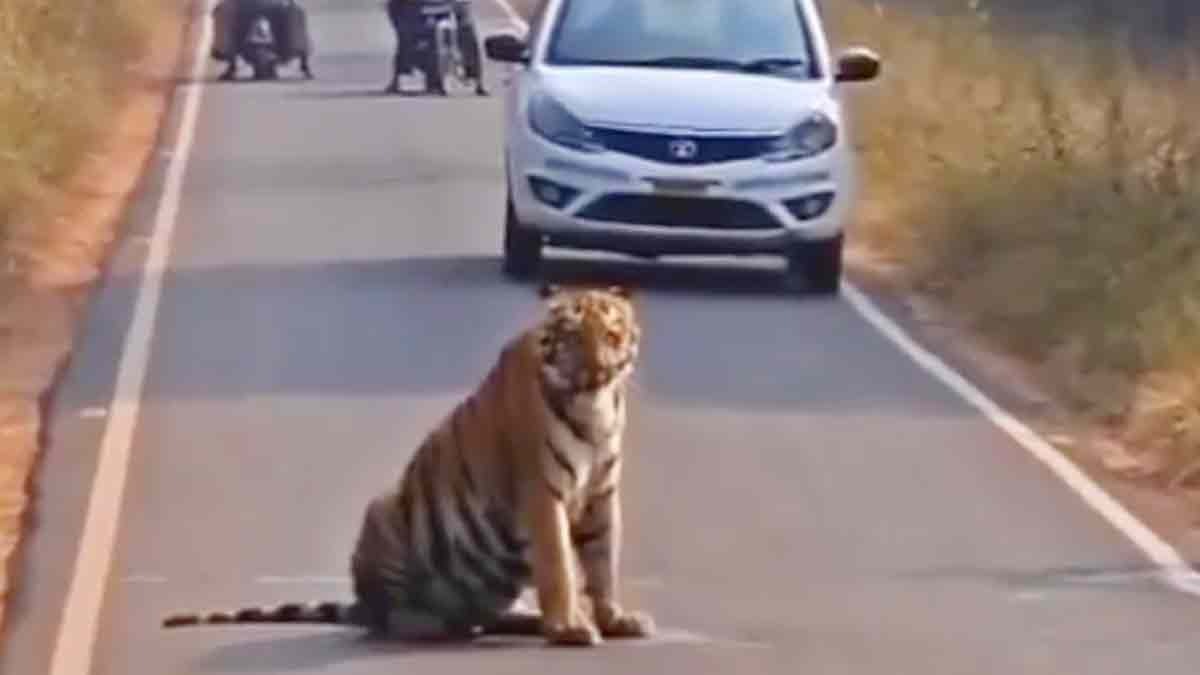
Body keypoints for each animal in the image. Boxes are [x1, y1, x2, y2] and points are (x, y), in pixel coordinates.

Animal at [162, 283, 654, 647]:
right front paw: (569, 627)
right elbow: (559, 567)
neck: (595, 410)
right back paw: (427, 624)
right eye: (573, 338)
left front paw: (614, 619)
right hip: (384, 517)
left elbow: (602, 561)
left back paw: (520, 620)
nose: (598, 371)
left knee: (481, 617)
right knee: (387, 618)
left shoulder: (601, 492)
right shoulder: (541, 492)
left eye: (612, 336)